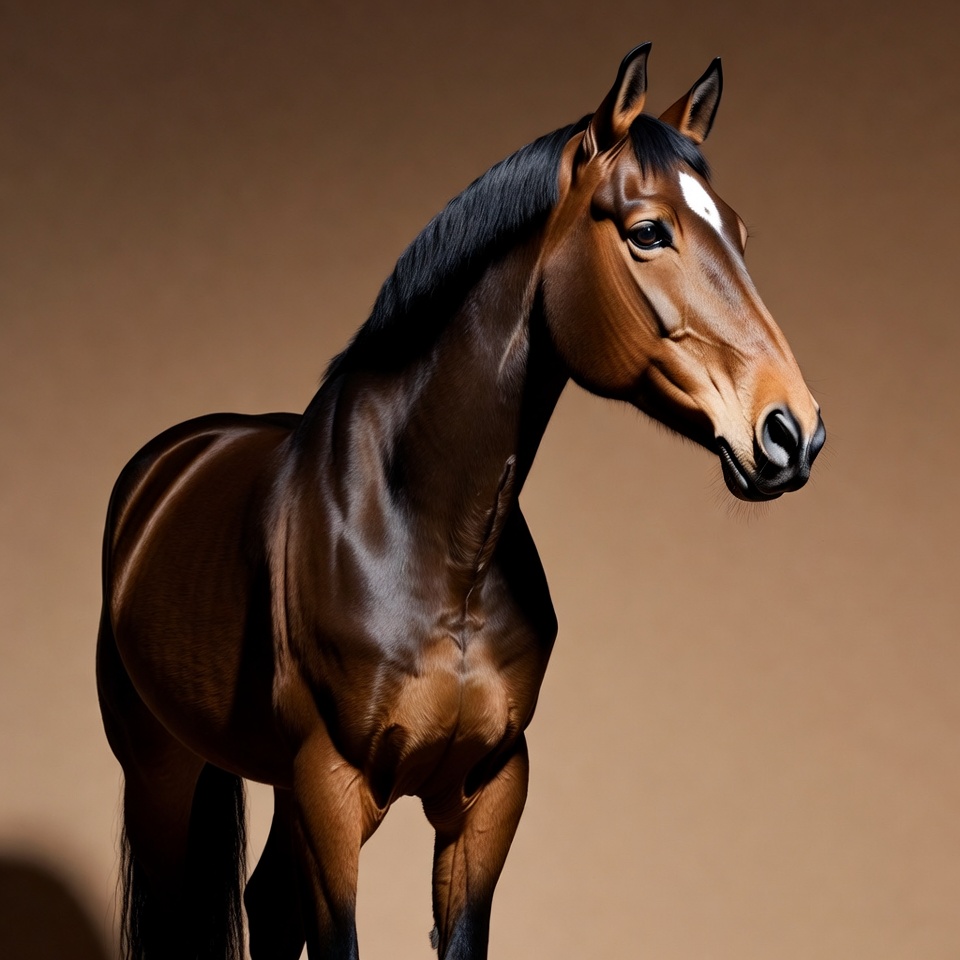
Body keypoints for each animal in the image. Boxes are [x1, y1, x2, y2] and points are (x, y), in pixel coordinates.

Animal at [97, 43, 825, 960]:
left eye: (737, 233)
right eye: (648, 231)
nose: (792, 430)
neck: (434, 538)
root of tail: (163, 467)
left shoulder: (489, 791)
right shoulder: (331, 788)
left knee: (265, 903)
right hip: (159, 768)